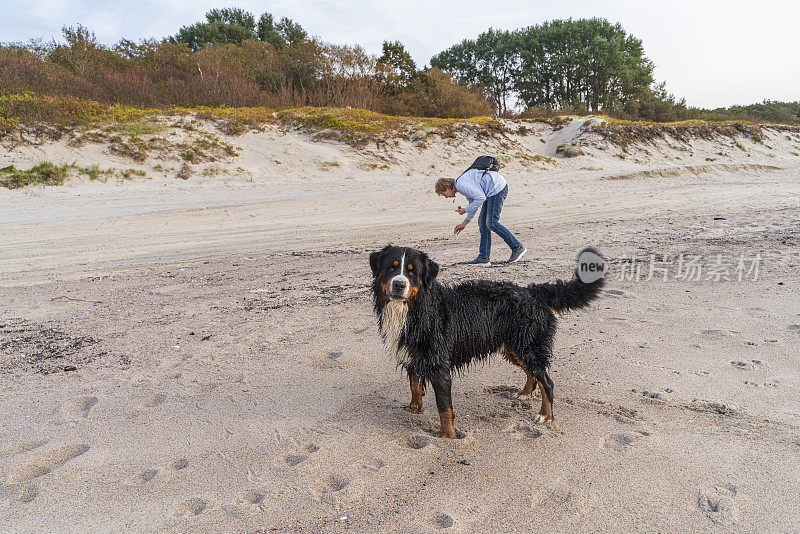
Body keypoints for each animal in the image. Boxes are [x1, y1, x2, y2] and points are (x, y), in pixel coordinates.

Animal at [372, 246, 604, 440]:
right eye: (391, 267)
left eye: (413, 272)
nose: (399, 284)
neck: (416, 309)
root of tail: (532, 292)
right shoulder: (412, 356)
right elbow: (414, 386)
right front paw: (414, 408)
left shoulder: (439, 366)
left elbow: (444, 407)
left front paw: (448, 435)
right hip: (514, 349)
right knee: (533, 374)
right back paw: (524, 393)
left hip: (527, 347)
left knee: (547, 381)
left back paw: (545, 415)